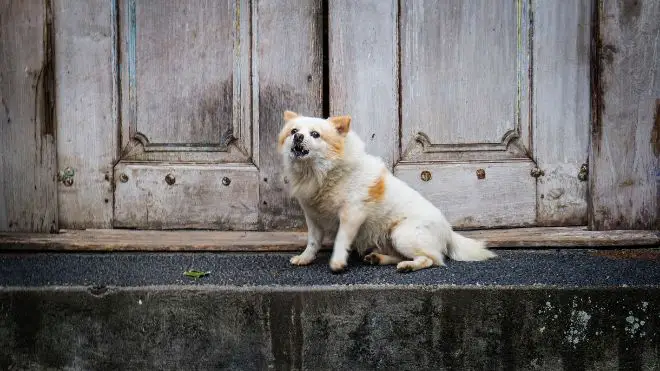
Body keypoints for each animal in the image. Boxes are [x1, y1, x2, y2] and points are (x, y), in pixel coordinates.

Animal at [278, 110, 496, 274]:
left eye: (315, 134)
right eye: (294, 131)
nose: (298, 137)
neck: (320, 173)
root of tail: (449, 231)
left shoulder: (352, 214)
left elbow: (341, 239)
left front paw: (337, 262)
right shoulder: (313, 217)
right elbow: (313, 242)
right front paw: (305, 258)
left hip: (402, 234)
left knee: (432, 259)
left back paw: (408, 266)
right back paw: (378, 258)